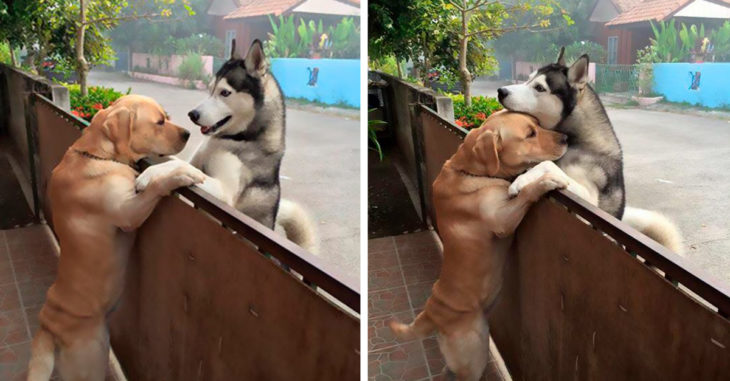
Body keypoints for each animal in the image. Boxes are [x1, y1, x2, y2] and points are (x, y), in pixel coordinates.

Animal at [27, 93, 205, 378]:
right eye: (159, 122)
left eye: (166, 116)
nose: (188, 133)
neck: (99, 155)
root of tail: (47, 326)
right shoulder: (128, 213)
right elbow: (156, 184)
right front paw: (182, 174)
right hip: (91, 360)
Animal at [390, 111, 572, 378]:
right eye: (530, 134)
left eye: (538, 125)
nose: (566, 138)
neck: (470, 171)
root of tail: (432, 313)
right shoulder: (502, 220)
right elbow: (527, 192)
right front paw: (546, 180)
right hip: (475, 353)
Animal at [494, 49, 684, 254]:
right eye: (528, 79)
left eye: (539, 88)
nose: (501, 91)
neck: (579, 142)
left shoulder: (589, 200)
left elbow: (548, 164)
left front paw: (520, 181)